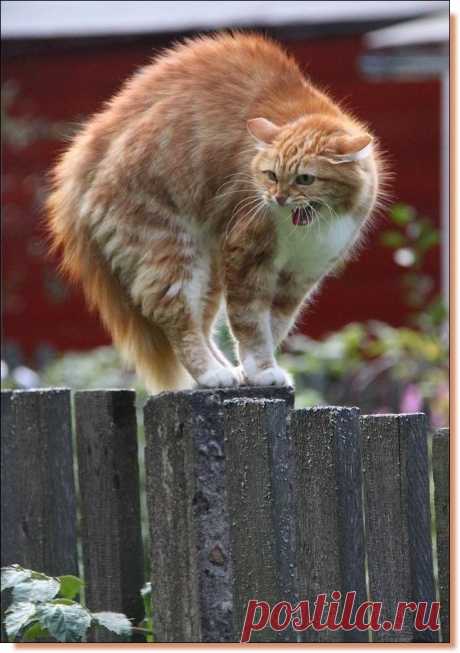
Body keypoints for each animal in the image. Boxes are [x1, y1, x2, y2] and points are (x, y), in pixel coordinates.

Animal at [46, 31, 384, 392]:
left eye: (305, 179)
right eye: (271, 175)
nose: (277, 198)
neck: (308, 229)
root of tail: (87, 151)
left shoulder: (299, 276)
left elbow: (274, 325)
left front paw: (254, 371)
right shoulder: (248, 257)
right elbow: (251, 325)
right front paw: (261, 369)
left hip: (209, 270)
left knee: (203, 324)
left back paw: (227, 370)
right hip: (174, 255)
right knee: (180, 323)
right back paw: (211, 373)